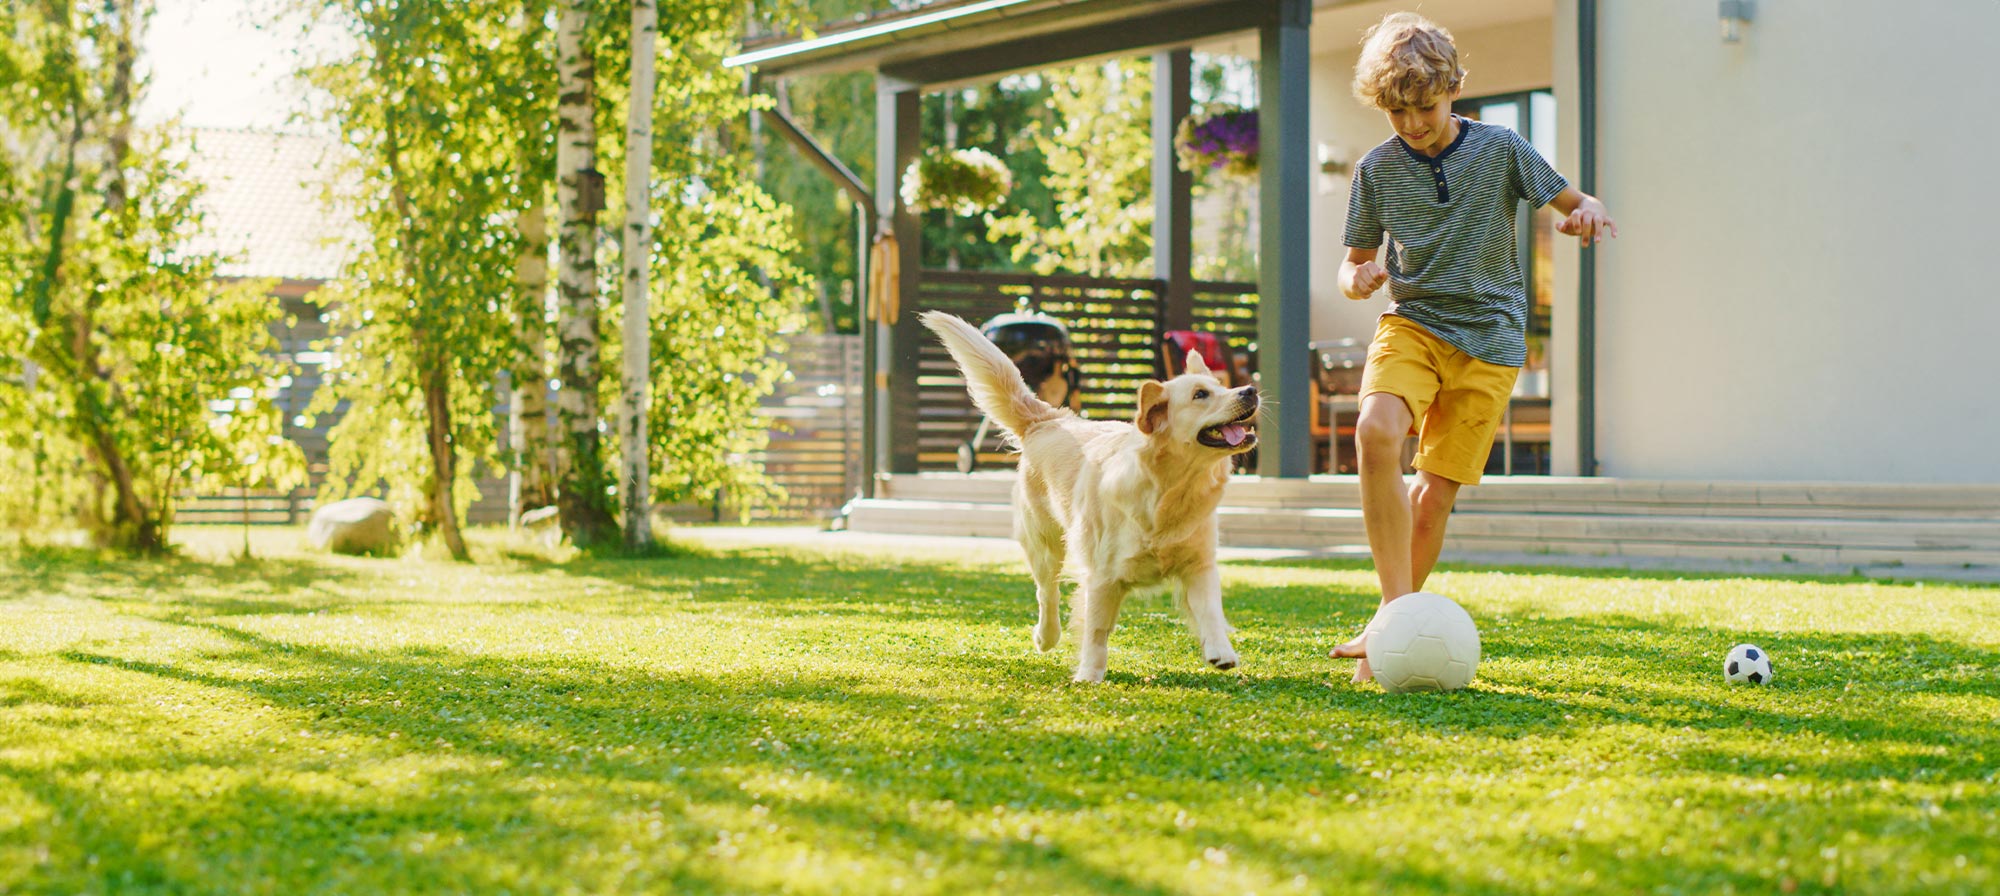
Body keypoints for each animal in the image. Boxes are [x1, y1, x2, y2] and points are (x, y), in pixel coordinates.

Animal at [916, 312, 1256, 684]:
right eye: (1200, 394)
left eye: (1222, 386)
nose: (1250, 390)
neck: (1169, 489)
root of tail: (1049, 419)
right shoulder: (1103, 576)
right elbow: (1096, 632)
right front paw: (1089, 675)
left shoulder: (1199, 564)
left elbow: (1210, 610)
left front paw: (1221, 652)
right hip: (1044, 543)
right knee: (1046, 592)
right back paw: (1046, 636)